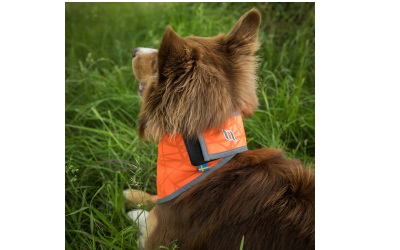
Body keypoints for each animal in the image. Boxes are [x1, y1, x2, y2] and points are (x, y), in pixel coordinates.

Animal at [126, 8, 314, 249]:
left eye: (157, 60)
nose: (134, 50)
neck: (206, 161)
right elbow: (155, 198)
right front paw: (131, 194)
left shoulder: (157, 240)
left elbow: (148, 217)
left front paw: (133, 211)